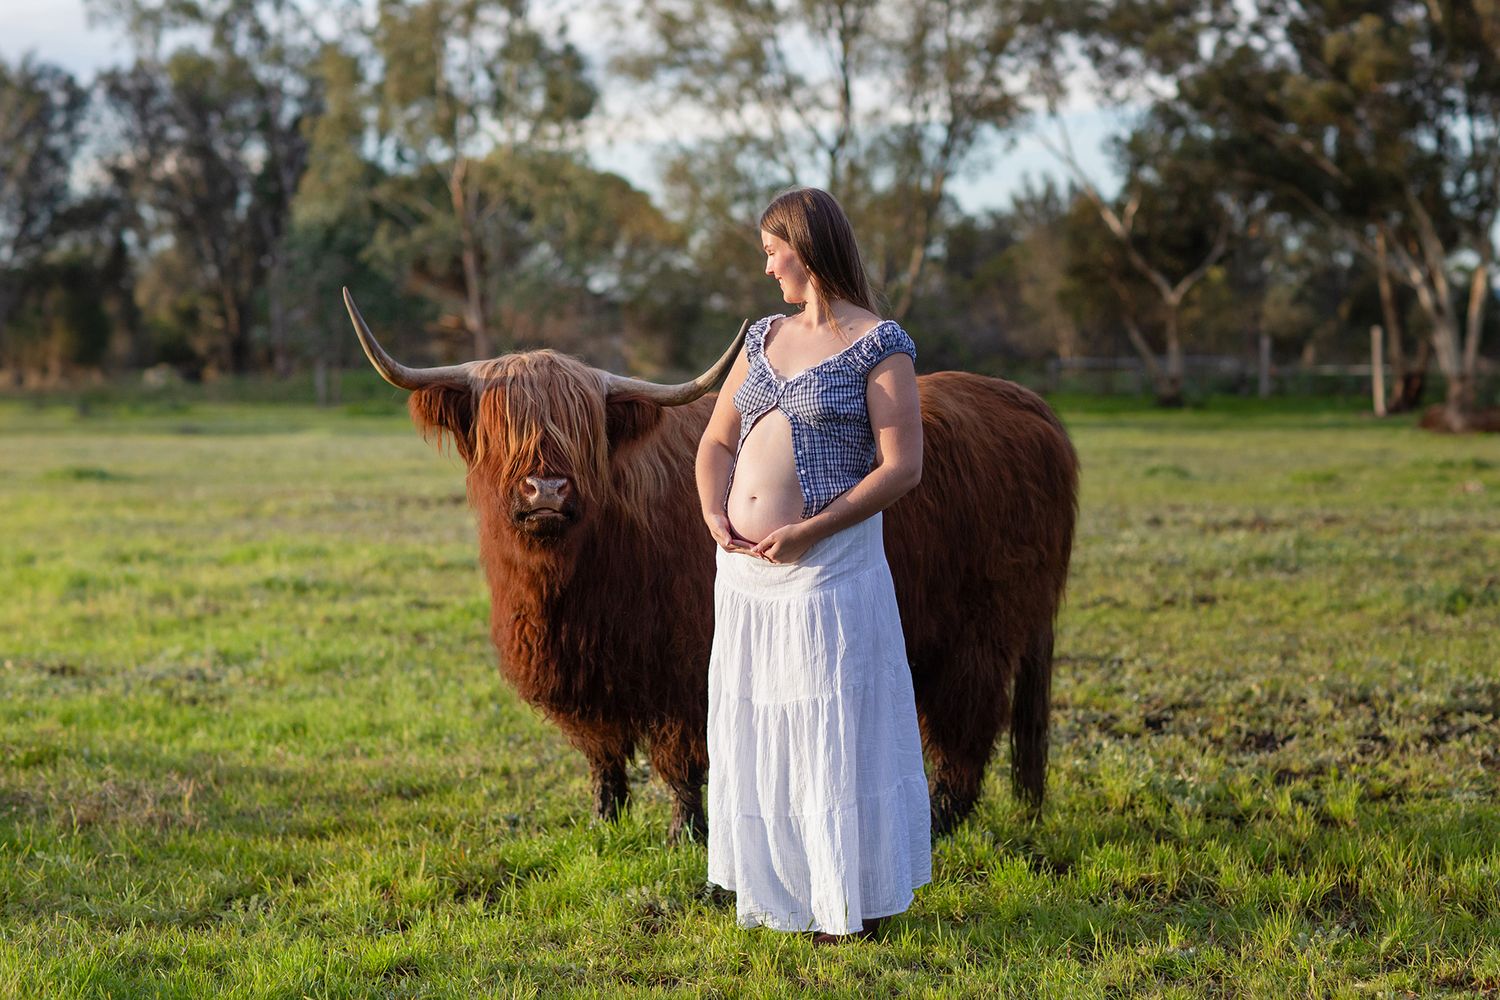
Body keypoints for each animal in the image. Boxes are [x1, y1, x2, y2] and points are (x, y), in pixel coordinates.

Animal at [344, 289, 1078, 843]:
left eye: (584, 432)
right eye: (502, 429)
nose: (546, 490)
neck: (574, 583)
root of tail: (1030, 405)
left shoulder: (684, 664)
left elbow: (679, 757)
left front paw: (684, 834)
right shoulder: (587, 671)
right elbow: (602, 751)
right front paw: (604, 821)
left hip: (981, 629)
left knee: (967, 724)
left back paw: (938, 824)